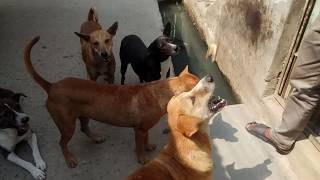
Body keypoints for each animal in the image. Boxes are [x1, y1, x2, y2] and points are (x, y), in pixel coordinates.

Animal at [23, 35, 199, 168]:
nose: (177, 48)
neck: (161, 92)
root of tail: (52, 86)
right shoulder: (139, 130)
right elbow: (139, 146)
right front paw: (142, 158)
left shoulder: (144, 128)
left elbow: (146, 139)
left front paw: (148, 146)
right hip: (66, 125)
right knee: (62, 143)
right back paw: (69, 159)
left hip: (83, 114)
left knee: (84, 128)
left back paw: (96, 138)